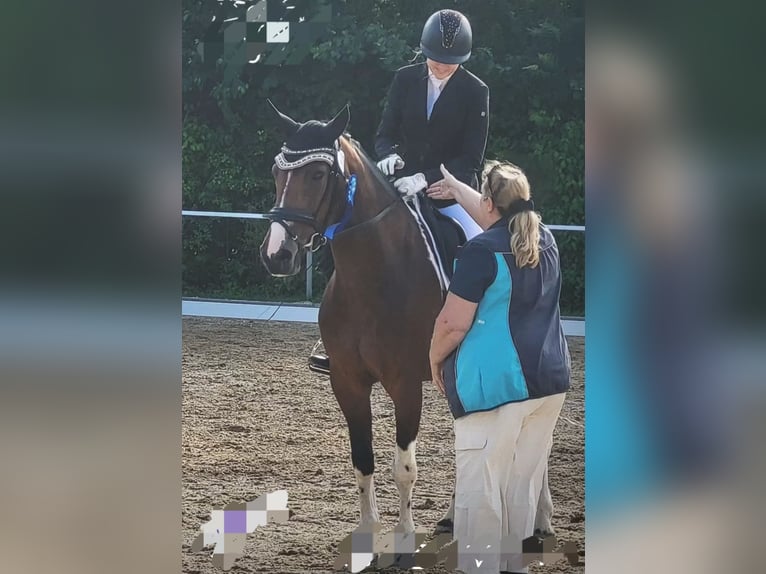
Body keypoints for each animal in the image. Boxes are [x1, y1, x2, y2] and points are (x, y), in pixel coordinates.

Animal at [260, 103, 560, 540]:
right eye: (276, 171)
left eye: (317, 174)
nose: (276, 255)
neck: (374, 277)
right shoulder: (346, 381)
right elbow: (362, 459)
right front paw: (368, 528)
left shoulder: (404, 384)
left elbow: (404, 468)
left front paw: (403, 534)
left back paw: (539, 516)